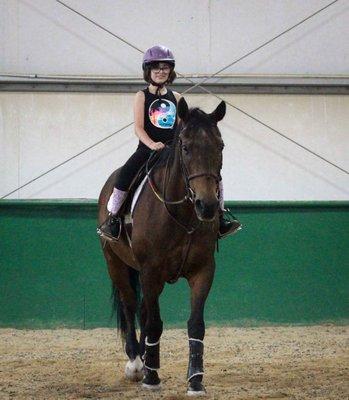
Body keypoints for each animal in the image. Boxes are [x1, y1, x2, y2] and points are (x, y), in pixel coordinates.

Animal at [97, 96, 226, 394]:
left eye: (220, 147)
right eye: (186, 147)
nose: (207, 206)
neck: (182, 215)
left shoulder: (203, 271)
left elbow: (196, 325)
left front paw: (195, 380)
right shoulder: (150, 271)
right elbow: (154, 323)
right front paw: (151, 378)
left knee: (143, 310)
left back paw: (146, 359)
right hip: (115, 263)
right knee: (130, 305)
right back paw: (136, 363)